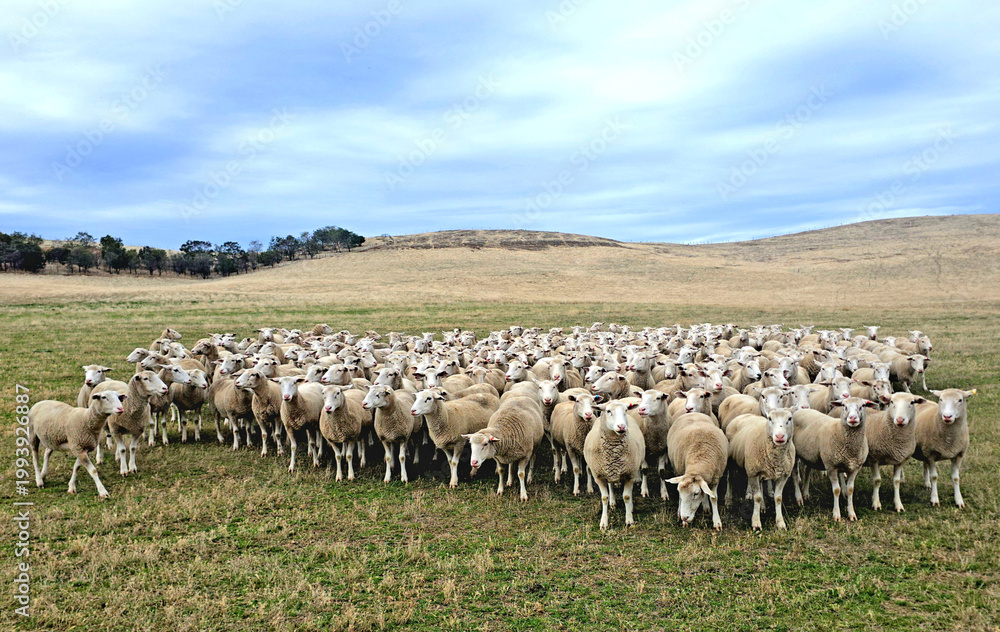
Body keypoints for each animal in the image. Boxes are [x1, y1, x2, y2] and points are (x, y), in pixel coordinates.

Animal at [584, 399, 646, 530]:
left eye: (626, 410)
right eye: (608, 411)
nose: (621, 426)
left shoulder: (630, 474)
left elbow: (626, 496)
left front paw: (629, 520)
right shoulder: (599, 476)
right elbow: (604, 498)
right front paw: (603, 522)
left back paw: (630, 507)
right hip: (609, 472)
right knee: (611, 485)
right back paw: (612, 502)